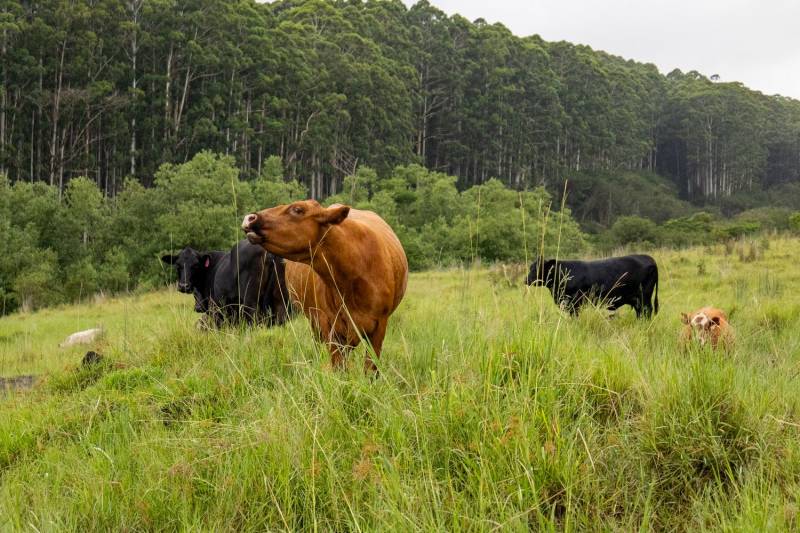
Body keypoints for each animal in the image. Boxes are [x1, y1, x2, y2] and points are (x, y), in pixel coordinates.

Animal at [161, 239, 292, 326]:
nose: (184, 286)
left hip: (250, 301)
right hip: (280, 299)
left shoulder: (216, 309)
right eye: (177, 265)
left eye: (196, 265)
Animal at [524, 252, 656, 316]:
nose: (525, 280)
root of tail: (648, 258)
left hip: (644, 298)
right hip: (638, 300)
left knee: (647, 312)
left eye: (535, 269)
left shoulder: (575, 304)